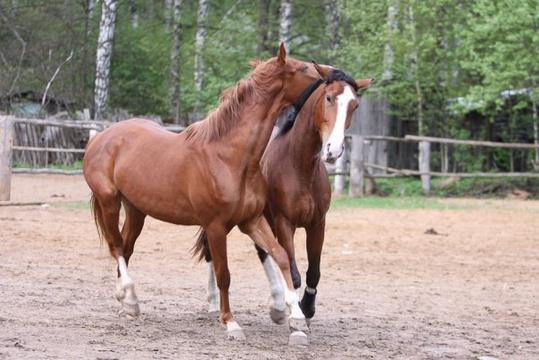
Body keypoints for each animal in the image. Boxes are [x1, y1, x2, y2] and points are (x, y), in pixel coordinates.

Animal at [83, 43, 334, 344]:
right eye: (304, 68)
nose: (336, 74)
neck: (229, 156)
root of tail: (99, 138)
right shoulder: (215, 226)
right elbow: (224, 273)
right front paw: (230, 323)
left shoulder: (251, 220)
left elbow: (282, 256)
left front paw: (296, 318)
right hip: (109, 200)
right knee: (117, 246)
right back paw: (130, 300)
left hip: (136, 209)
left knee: (126, 248)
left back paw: (125, 303)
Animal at [198, 69, 376, 326]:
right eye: (329, 98)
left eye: (355, 105)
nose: (333, 150)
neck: (298, 166)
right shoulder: (284, 223)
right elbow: (294, 272)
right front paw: (297, 312)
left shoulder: (317, 223)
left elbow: (313, 272)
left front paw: (307, 308)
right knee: (212, 250)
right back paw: (214, 302)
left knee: (263, 252)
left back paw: (276, 303)